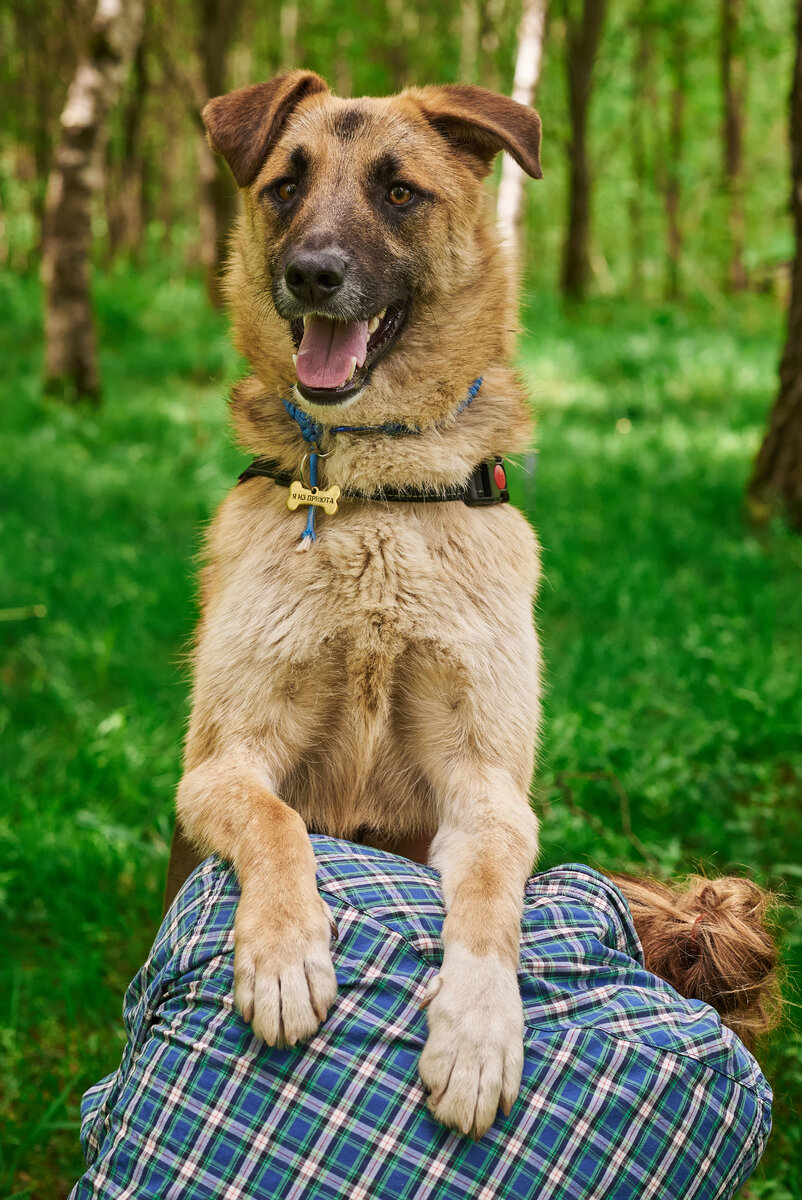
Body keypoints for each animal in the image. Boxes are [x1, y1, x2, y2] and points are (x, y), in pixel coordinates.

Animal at [172, 70, 542, 1137]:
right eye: (285, 187)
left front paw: (477, 1033)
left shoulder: (487, 786)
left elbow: (492, 892)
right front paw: (286, 955)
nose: (312, 276)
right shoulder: (219, 766)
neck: (373, 496)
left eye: (400, 192)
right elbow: (278, 823)